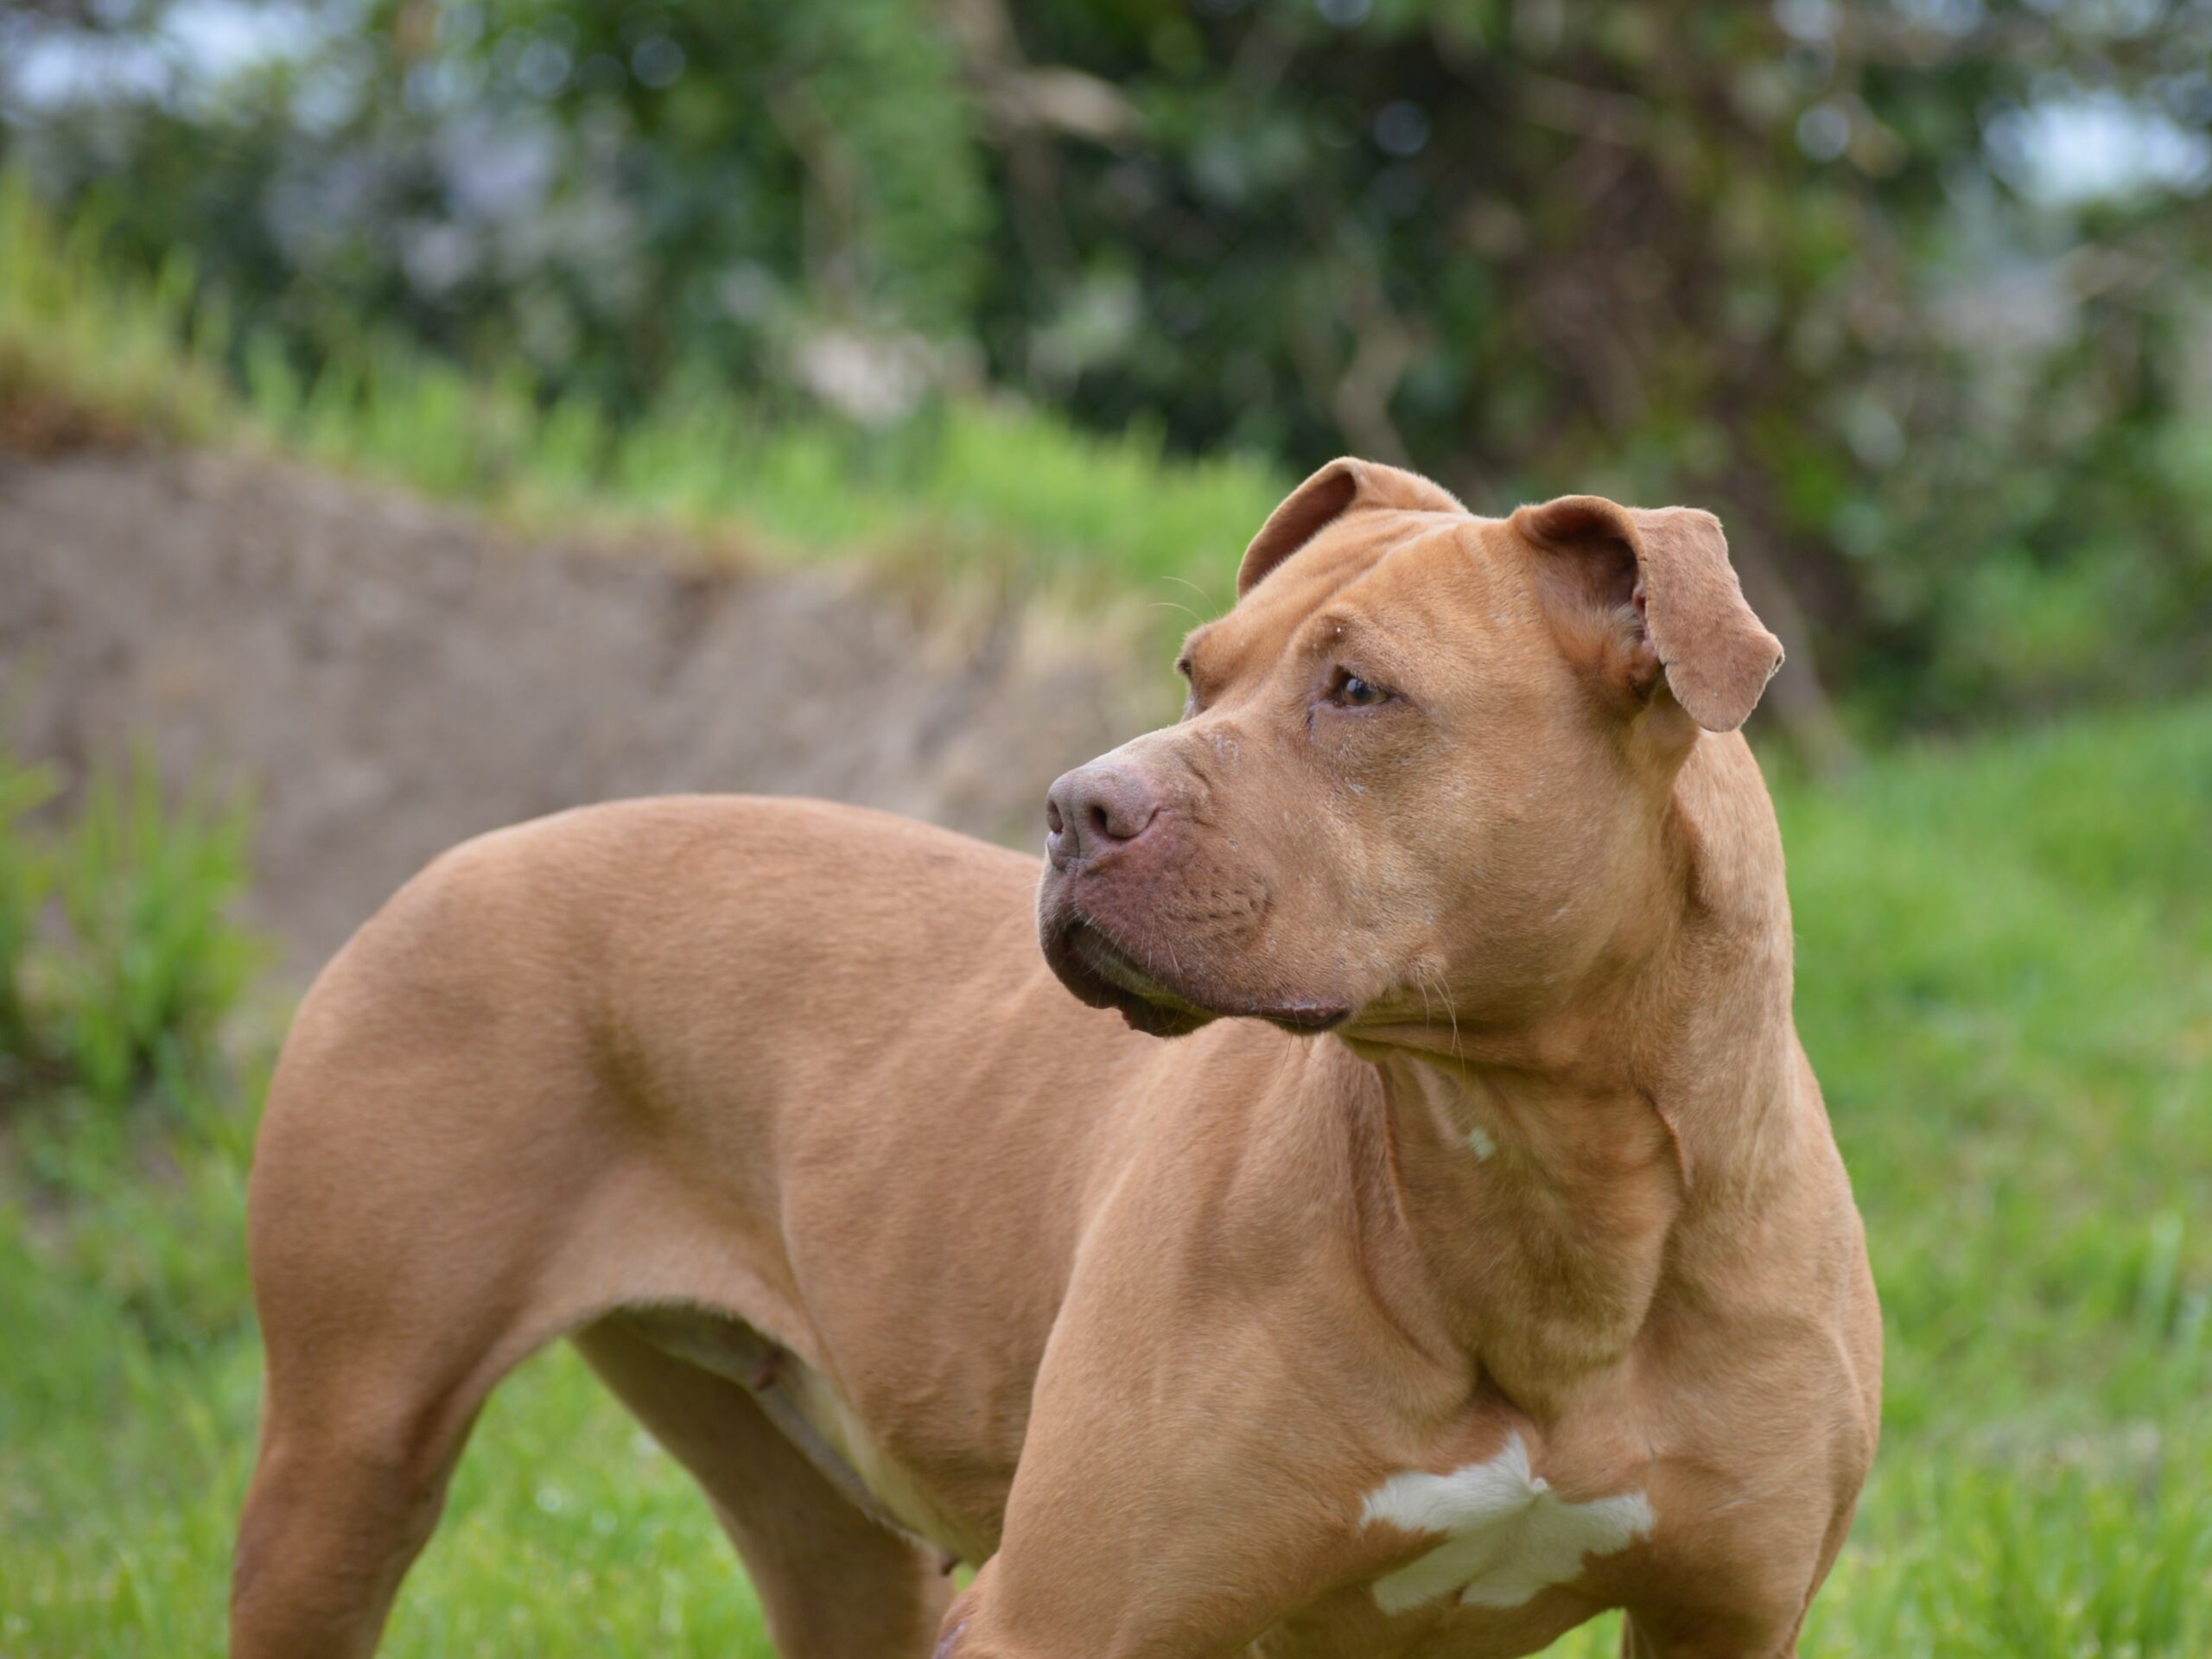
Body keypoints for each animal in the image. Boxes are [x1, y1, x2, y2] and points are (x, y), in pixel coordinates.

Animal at [231, 458, 1880, 1658]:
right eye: (1197, 669)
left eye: (1357, 691)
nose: (1076, 806)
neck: (1544, 1191)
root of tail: (456, 858)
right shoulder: (1066, 1616)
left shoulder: (1728, 1620)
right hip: (347, 1457)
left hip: (829, 1536)